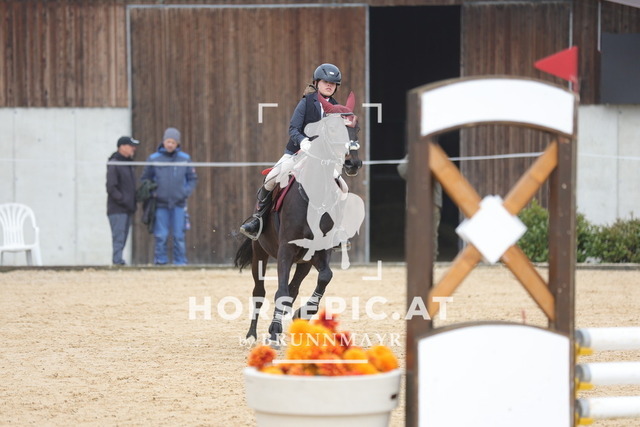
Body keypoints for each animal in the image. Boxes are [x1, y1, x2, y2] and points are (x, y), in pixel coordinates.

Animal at [234, 93, 364, 345]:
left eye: (358, 129)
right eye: (333, 129)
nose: (352, 163)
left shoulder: (320, 250)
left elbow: (324, 277)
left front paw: (301, 314)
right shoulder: (286, 248)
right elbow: (280, 291)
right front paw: (274, 332)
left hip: (303, 261)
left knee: (294, 289)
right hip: (260, 252)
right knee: (259, 292)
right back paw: (251, 335)